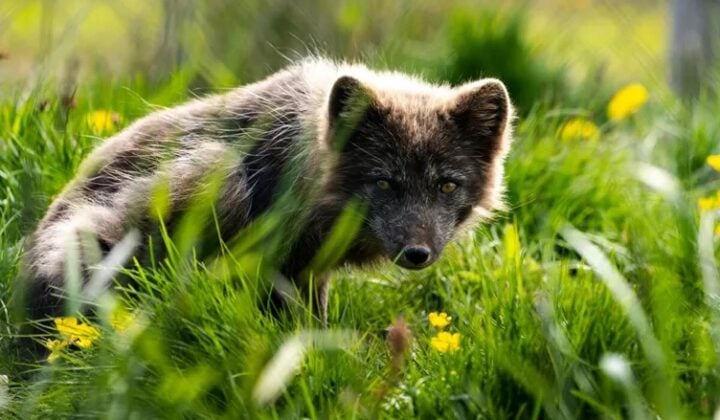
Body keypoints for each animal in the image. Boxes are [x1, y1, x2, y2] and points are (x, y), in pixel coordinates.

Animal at [20, 57, 514, 323]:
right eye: (384, 182)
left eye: (447, 185)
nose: (417, 254)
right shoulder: (279, 264)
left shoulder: (311, 269)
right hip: (215, 174)